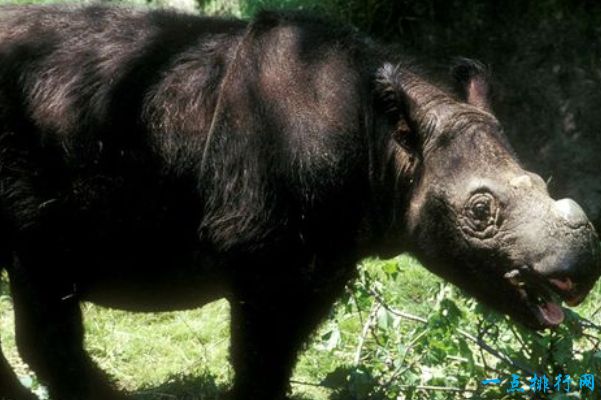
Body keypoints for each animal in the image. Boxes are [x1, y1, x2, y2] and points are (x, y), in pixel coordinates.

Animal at [0, 5, 596, 400]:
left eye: (541, 182)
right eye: (480, 211)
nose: (583, 270)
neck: (388, 146)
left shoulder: (323, 258)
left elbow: (278, 356)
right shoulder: (263, 254)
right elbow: (259, 358)